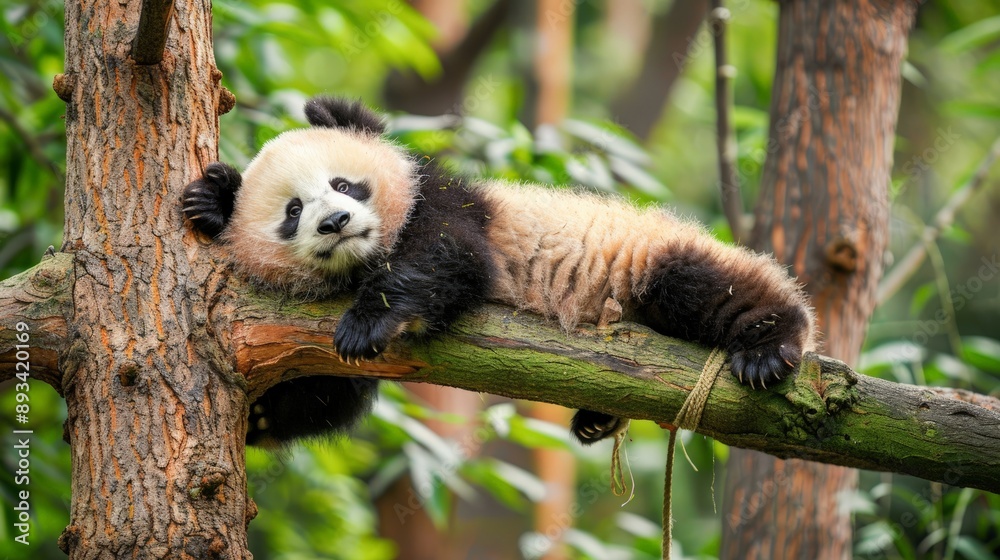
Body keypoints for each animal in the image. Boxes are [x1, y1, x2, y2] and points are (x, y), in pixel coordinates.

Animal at [182, 96, 817, 448]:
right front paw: (210, 201)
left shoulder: (446, 202)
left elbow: (450, 259)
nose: (336, 221)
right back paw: (598, 420)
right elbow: (323, 394)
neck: (362, 262)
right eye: (293, 212)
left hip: (652, 255)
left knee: (703, 283)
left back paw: (770, 344)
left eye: (344, 183)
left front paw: (367, 323)